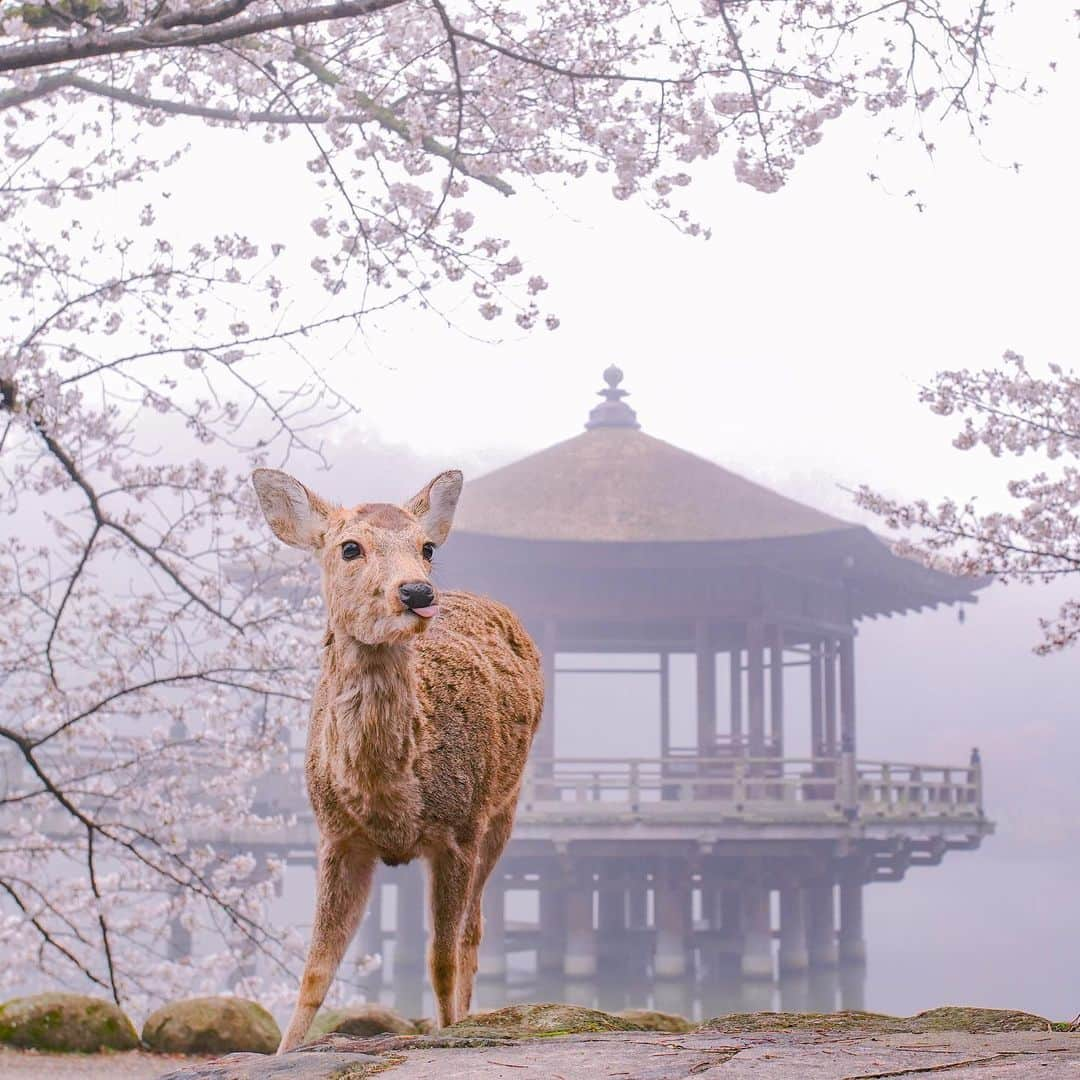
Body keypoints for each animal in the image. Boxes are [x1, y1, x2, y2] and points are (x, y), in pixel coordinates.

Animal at [249, 468, 544, 1049]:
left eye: (426, 548)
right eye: (349, 547)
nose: (417, 591)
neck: (392, 802)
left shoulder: (459, 830)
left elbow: (440, 960)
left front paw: (450, 1031)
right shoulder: (336, 836)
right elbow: (316, 968)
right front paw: (283, 1049)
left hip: (504, 806)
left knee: (473, 930)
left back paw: (469, 1015)